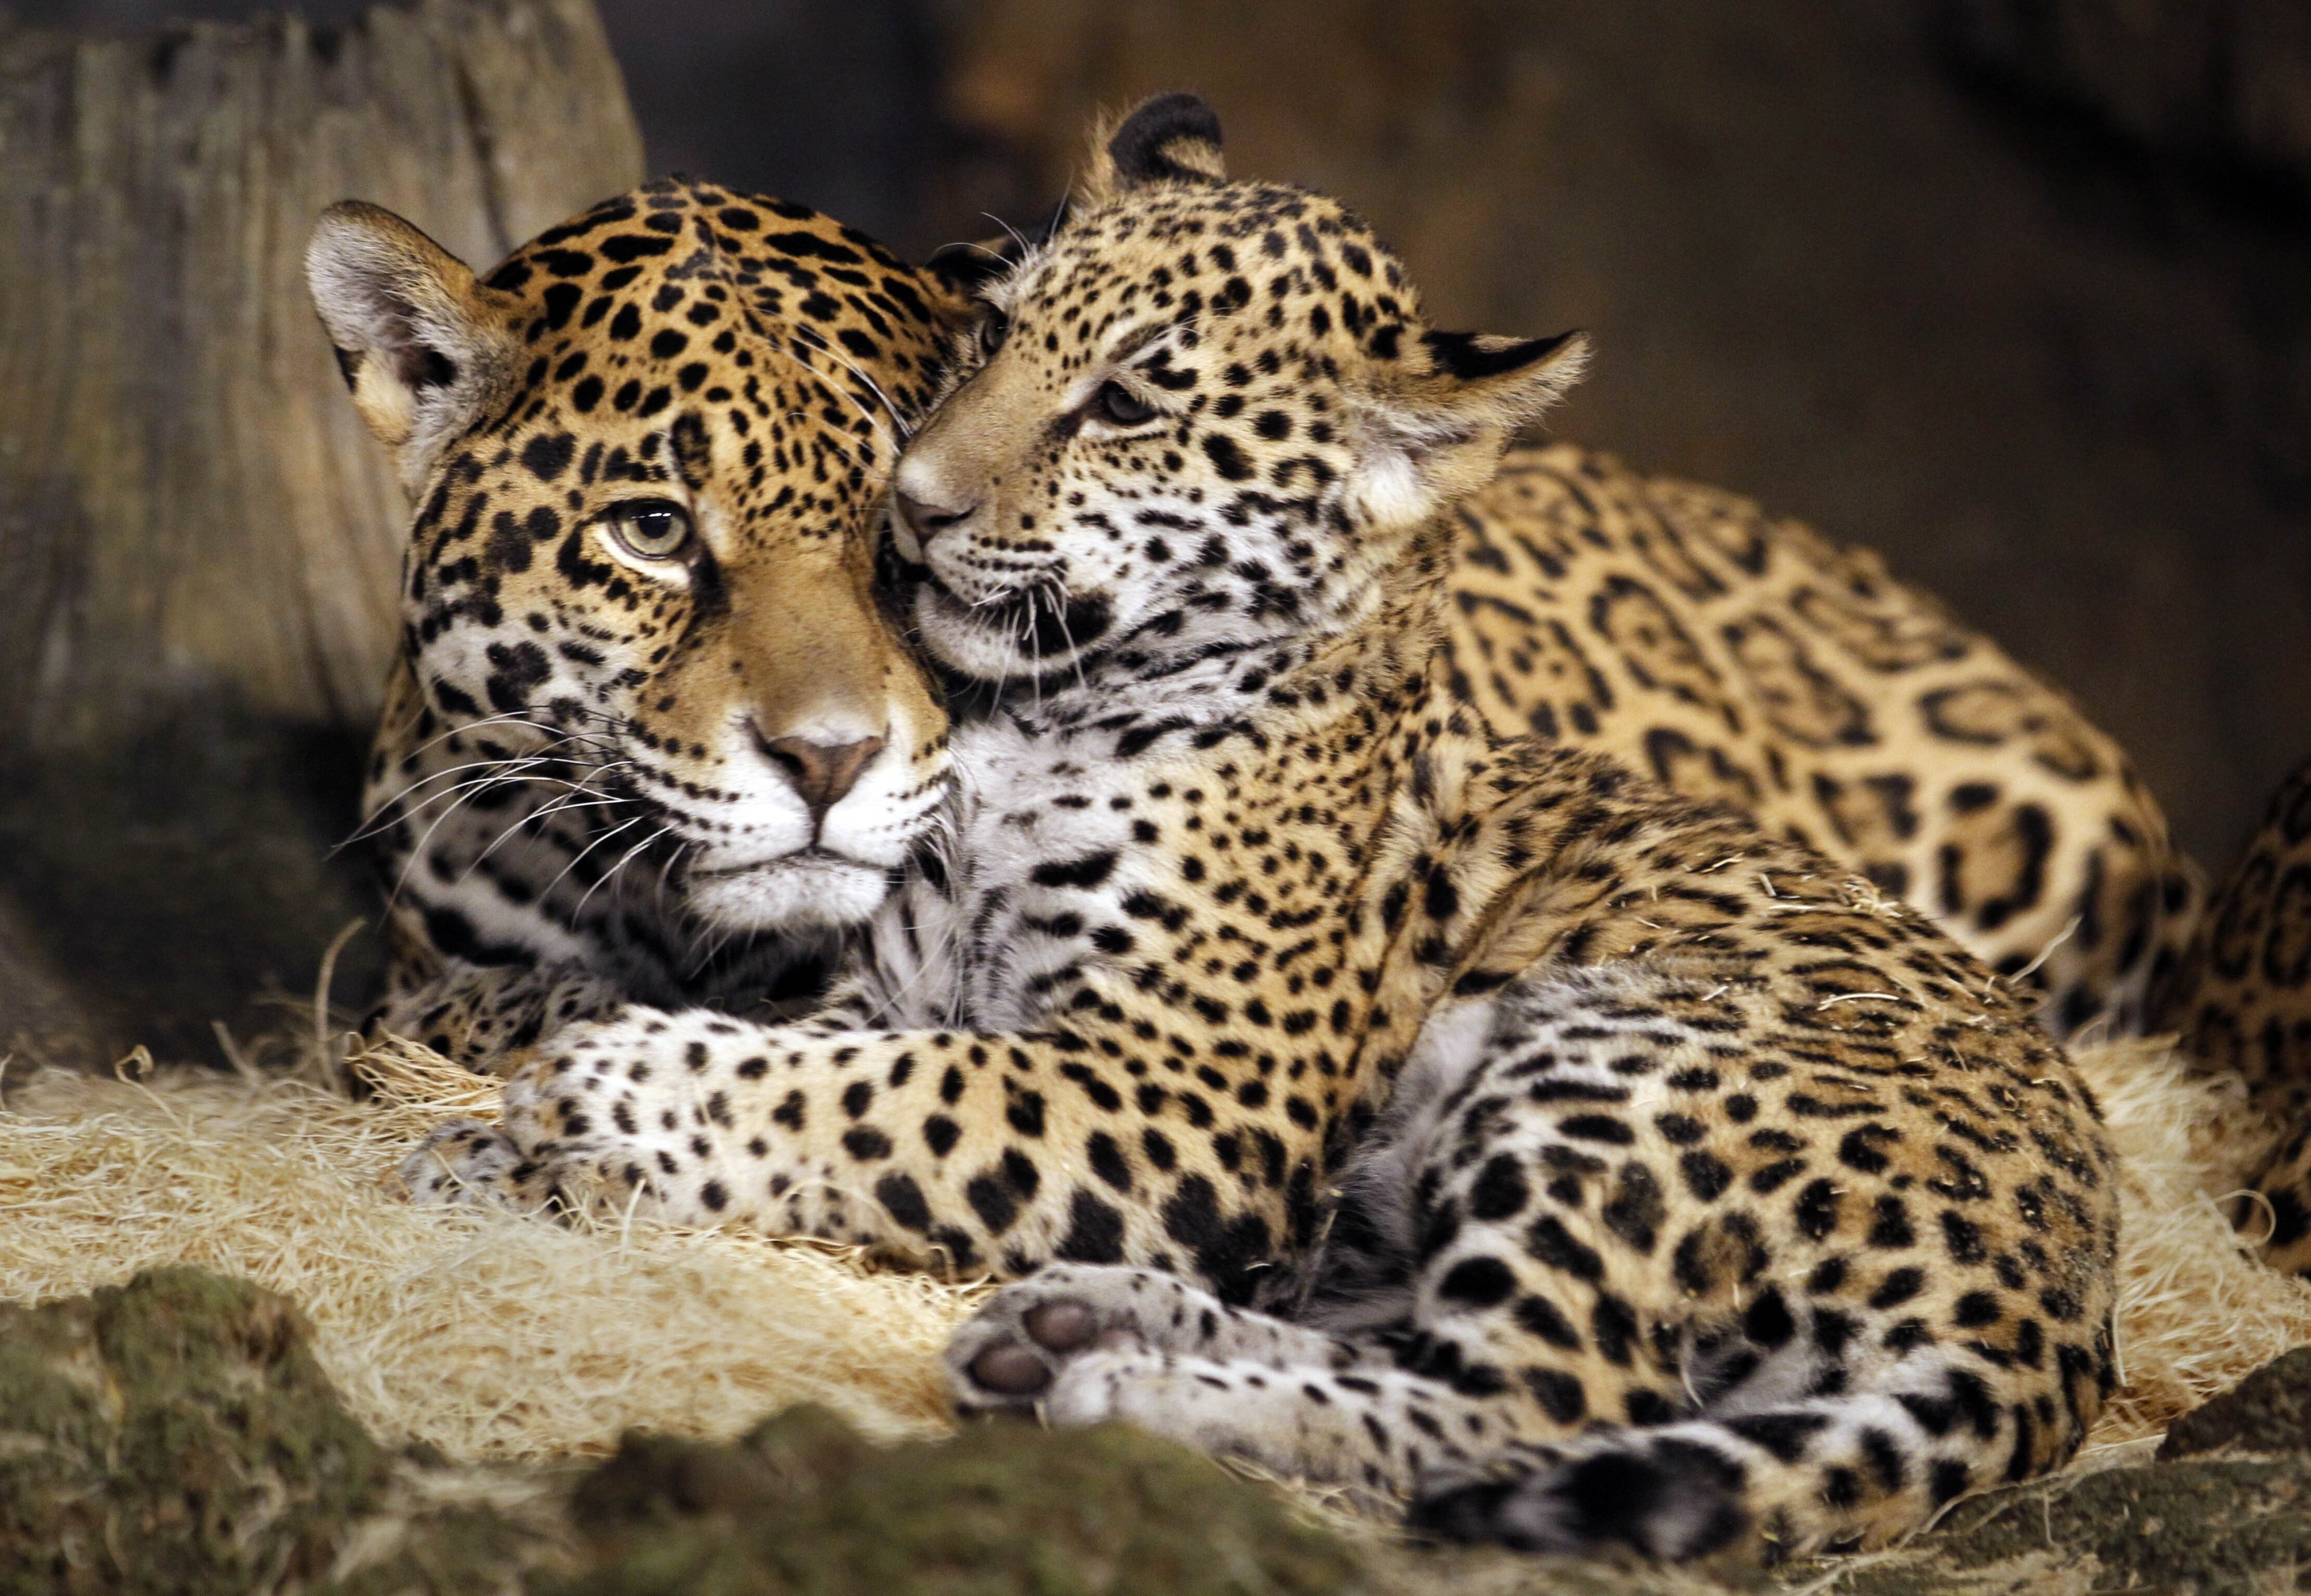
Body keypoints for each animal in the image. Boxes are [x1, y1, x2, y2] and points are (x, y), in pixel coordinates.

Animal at [404, 96, 2120, 1564]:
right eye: (997, 336)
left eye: (1127, 402)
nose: (914, 506)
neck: (1048, 710)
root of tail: (2064, 1297)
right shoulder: (894, 977)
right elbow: (819, 1062)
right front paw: (495, 1146)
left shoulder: (1186, 1084)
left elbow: (875, 1094)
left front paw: (600, 1080)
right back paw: (1075, 1325)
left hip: (1618, 1066)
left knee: (1532, 1404)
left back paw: (1124, 1382)